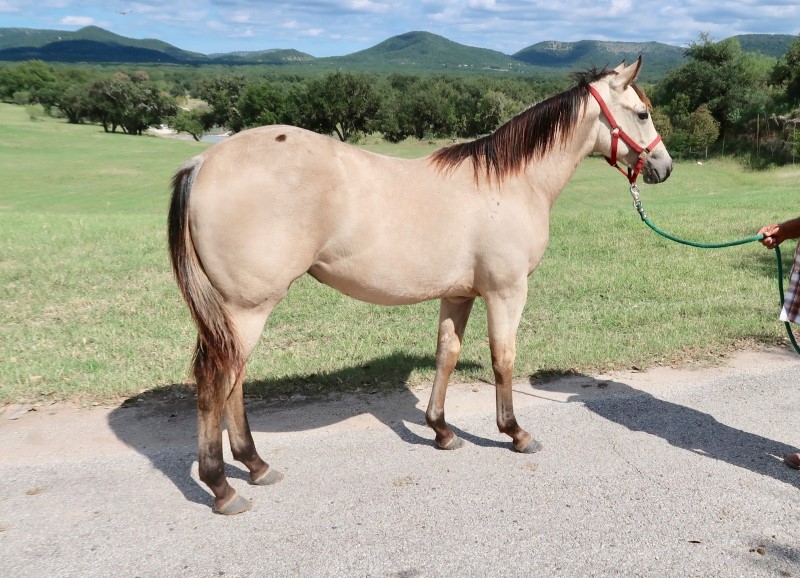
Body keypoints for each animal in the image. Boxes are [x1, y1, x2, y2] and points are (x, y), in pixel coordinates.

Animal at [170, 56, 676, 510]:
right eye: (642, 112)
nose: (665, 167)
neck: (510, 183)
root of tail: (204, 161)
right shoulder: (506, 292)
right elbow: (504, 359)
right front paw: (515, 433)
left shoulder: (458, 294)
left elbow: (446, 355)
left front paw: (442, 431)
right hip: (246, 308)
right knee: (218, 382)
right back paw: (222, 486)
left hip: (234, 314)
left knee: (233, 382)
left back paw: (256, 466)